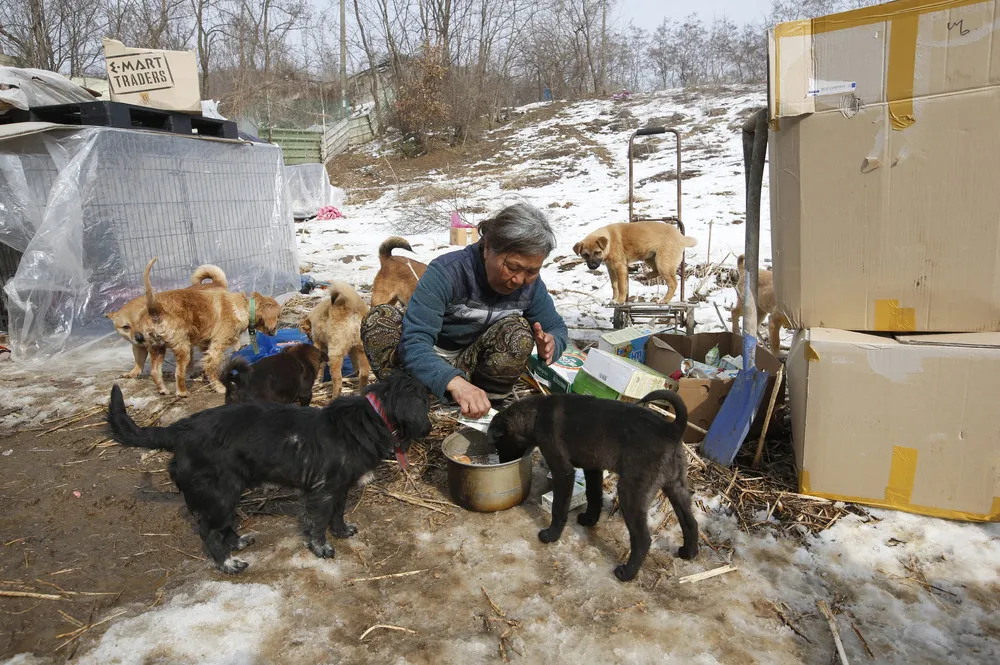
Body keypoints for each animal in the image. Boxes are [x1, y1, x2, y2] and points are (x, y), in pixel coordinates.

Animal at [106, 260, 230, 390]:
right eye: (126, 327)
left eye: (140, 321)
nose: (139, 338)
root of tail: (216, 283)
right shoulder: (139, 347)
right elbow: (139, 361)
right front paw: (133, 372)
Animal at [107, 374, 432, 572]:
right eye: (427, 403)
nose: (429, 429)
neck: (371, 417)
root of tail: (179, 429)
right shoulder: (322, 492)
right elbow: (317, 526)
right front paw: (322, 548)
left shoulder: (339, 489)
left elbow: (337, 516)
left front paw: (341, 532)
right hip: (221, 494)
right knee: (208, 531)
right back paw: (228, 563)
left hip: (226, 493)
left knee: (222, 526)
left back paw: (237, 542)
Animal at [141, 256, 284, 396]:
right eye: (278, 316)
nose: (276, 331)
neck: (243, 307)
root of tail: (155, 309)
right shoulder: (216, 346)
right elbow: (211, 367)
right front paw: (219, 387)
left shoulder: (206, 344)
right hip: (183, 348)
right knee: (179, 372)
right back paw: (182, 392)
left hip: (157, 348)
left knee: (155, 371)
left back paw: (163, 390)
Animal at [488, 390, 700, 580]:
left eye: (500, 445)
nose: (501, 462)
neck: (537, 414)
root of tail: (672, 431)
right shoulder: (592, 467)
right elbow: (593, 494)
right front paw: (590, 519)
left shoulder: (563, 470)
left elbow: (559, 507)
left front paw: (552, 535)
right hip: (676, 486)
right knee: (690, 522)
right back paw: (688, 552)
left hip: (631, 492)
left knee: (643, 539)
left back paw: (627, 573)